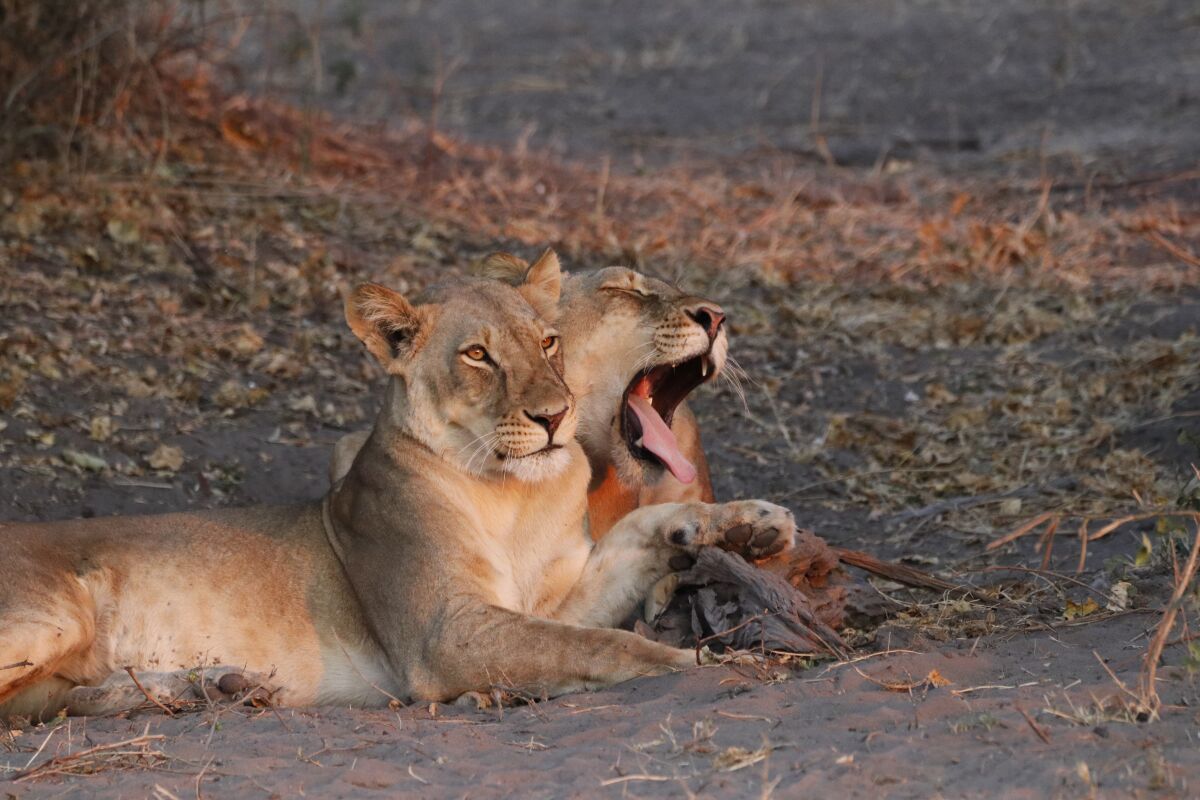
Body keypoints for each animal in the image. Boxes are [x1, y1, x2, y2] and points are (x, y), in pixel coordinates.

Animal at [2, 257, 796, 719]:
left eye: (547, 343)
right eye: (477, 356)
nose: (555, 415)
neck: (515, 495)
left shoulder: (549, 593)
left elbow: (636, 536)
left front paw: (751, 523)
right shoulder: (446, 631)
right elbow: (595, 646)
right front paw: (708, 660)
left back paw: (213, 687)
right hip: (49, 616)